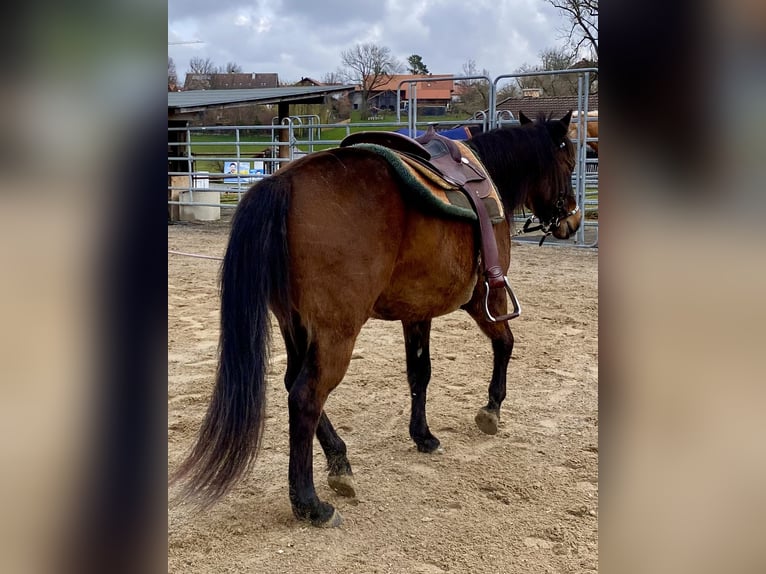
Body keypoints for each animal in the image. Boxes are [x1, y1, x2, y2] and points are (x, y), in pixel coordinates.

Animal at [171, 111, 581, 528]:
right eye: (569, 161)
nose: (573, 220)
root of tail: (283, 182)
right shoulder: (484, 297)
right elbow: (505, 343)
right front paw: (491, 409)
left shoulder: (417, 312)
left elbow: (420, 374)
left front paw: (423, 435)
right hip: (336, 333)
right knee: (306, 396)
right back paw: (310, 503)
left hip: (294, 325)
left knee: (292, 384)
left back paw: (340, 462)